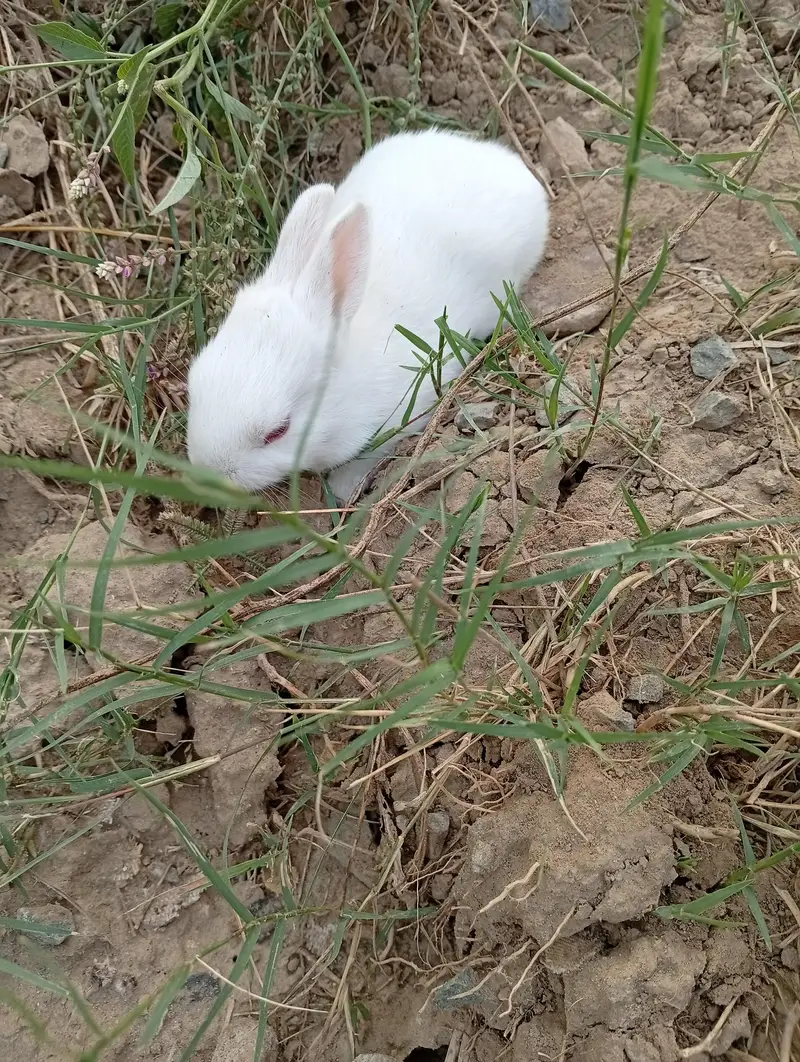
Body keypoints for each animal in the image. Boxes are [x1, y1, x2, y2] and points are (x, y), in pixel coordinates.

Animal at [186, 128, 548, 503]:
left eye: (278, 431)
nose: (208, 471)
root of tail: (510, 166)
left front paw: (343, 487)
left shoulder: (405, 412)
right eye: (193, 383)